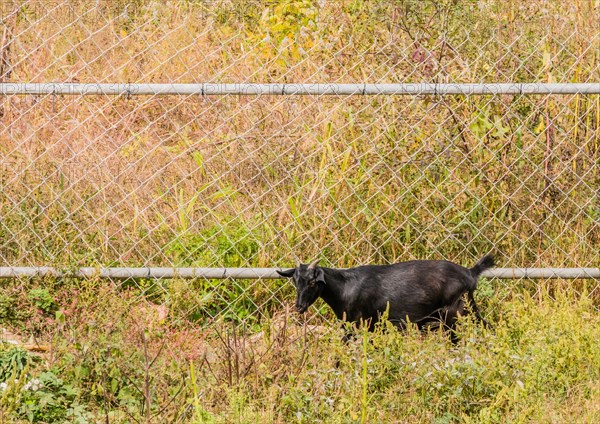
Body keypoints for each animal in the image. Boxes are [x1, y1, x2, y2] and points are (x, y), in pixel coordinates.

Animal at [276, 255, 492, 342]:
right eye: (295, 280)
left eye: (313, 282)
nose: (299, 307)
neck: (345, 288)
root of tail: (470, 273)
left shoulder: (359, 325)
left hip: (454, 313)